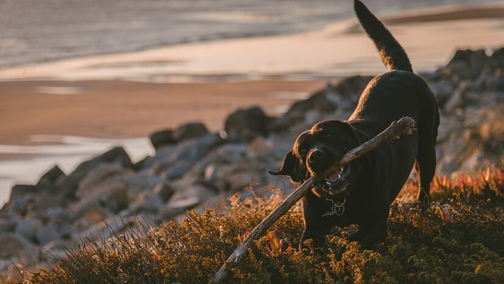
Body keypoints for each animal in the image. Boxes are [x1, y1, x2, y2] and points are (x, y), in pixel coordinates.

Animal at [270, 0, 440, 248]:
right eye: (302, 151)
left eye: (330, 136)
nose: (315, 156)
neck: (342, 200)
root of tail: (400, 70)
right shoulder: (311, 230)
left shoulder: (375, 224)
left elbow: (351, 244)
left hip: (427, 151)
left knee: (424, 185)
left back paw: (422, 212)